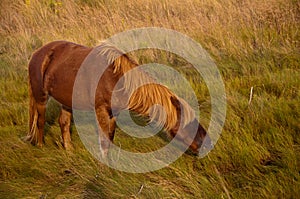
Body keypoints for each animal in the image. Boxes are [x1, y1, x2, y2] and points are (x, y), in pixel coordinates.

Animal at [24, 40, 210, 157]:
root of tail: (38, 52)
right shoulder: (101, 110)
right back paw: (40, 146)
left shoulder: (115, 113)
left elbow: (110, 136)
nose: (205, 144)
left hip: (67, 101)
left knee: (63, 123)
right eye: (189, 123)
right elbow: (104, 139)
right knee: (40, 121)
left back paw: (69, 150)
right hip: (41, 97)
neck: (115, 80)